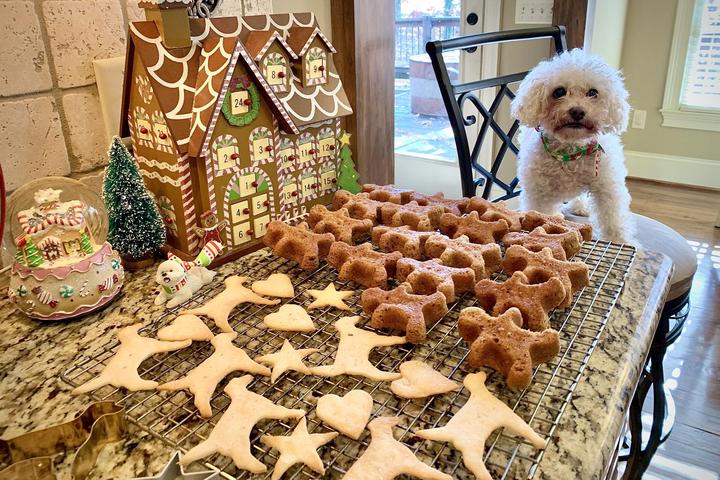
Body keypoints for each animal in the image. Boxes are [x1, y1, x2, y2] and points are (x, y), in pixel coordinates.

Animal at [512, 48, 636, 244]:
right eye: (559, 91)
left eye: (593, 92)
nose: (577, 111)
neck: (571, 151)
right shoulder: (539, 192)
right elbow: (542, 213)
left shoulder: (608, 188)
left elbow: (613, 220)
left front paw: (621, 241)